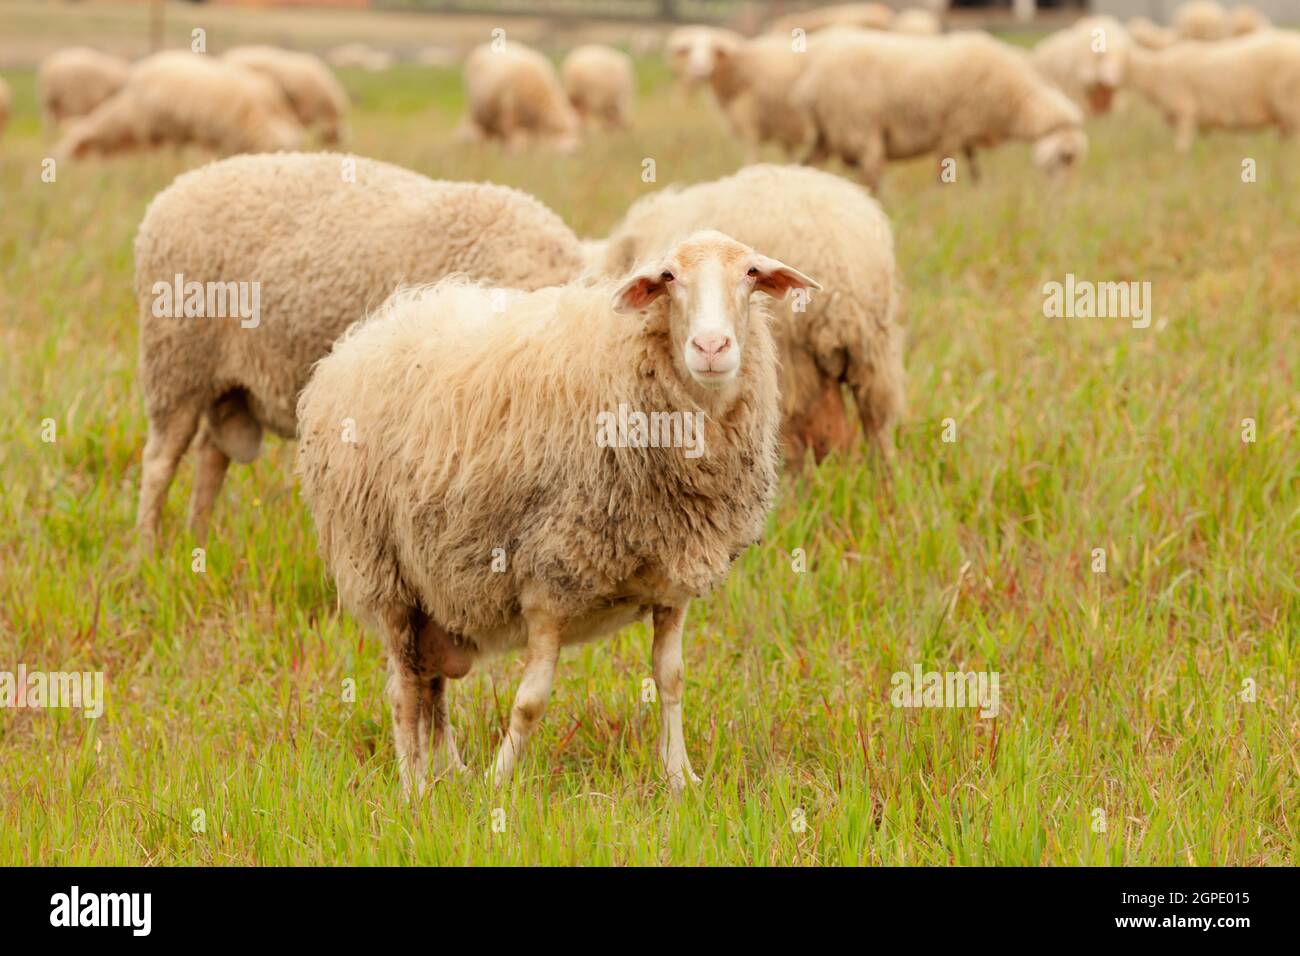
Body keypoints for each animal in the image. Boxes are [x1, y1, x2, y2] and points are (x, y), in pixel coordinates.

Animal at [132, 152, 585, 547]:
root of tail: (178, 186)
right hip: (175, 361)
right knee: (159, 463)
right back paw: (148, 549)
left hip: (225, 379)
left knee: (211, 453)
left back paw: (198, 536)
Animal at [296, 230, 818, 794]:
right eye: (668, 278)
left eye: (750, 273)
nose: (711, 348)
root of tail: (372, 328)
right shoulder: (549, 578)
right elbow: (530, 701)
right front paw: (497, 782)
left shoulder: (673, 579)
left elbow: (671, 678)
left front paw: (680, 777)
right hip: (382, 570)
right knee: (404, 690)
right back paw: (414, 787)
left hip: (434, 585)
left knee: (431, 683)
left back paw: (449, 773)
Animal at [793, 31, 1087, 191]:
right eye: (1067, 157)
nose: (1062, 191)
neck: (1014, 99)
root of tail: (809, 83)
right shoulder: (953, 129)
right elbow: (943, 172)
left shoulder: (968, 135)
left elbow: (974, 168)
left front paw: (976, 191)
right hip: (859, 128)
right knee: (870, 176)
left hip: (827, 135)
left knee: (808, 163)